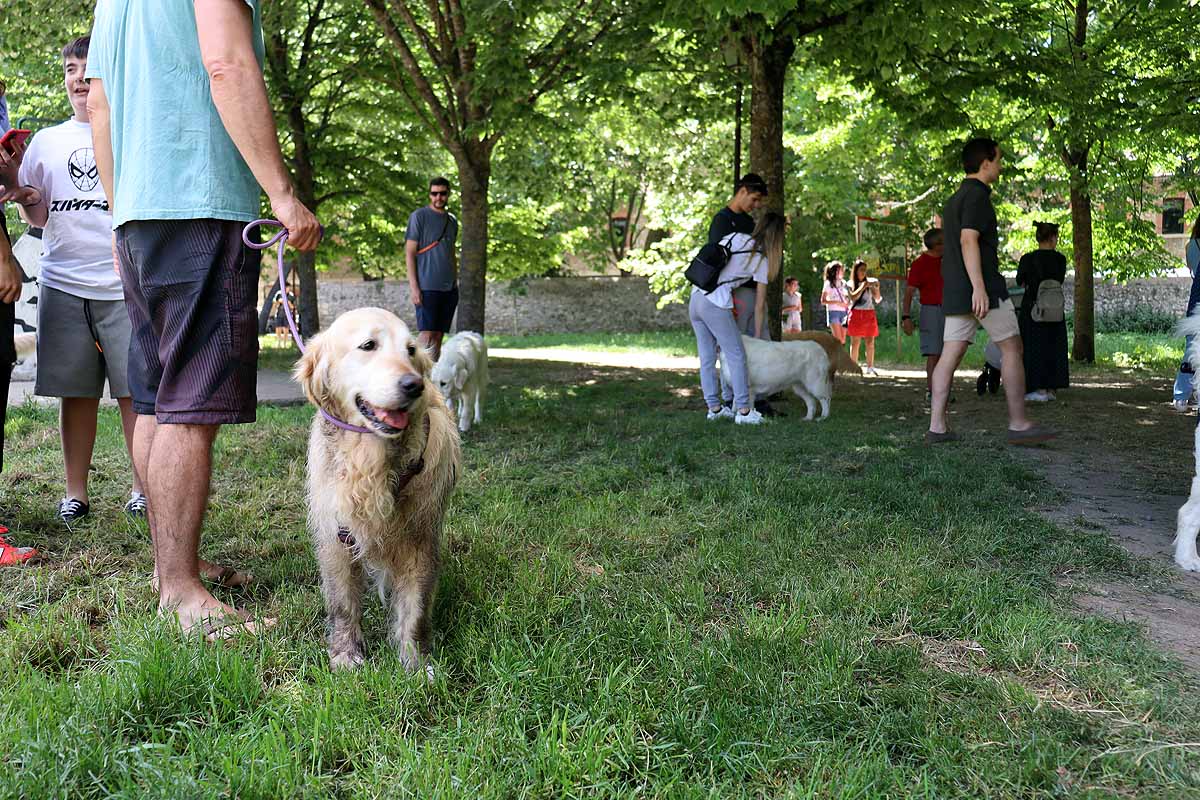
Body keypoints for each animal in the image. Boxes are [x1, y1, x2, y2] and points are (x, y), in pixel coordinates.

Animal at [292, 309, 460, 671]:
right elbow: (343, 604)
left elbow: (415, 607)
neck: (370, 459)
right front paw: (346, 655)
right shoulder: (336, 537)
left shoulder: (419, 537)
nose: (414, 385)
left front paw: (415, 662)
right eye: (368, 345)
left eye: (410, 350)